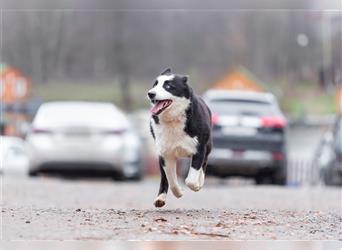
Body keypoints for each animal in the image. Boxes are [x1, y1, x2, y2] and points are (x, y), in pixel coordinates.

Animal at [148, 68, 212, 207]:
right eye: (155, 84)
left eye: (168, 86)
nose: (150, 93)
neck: (173, 120)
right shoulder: (165, 154)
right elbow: (171, 179)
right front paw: (179, 192)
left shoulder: (199, 148)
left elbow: (191, 180)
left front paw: (196, 185)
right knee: (164, 178)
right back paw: (160, 198)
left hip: (208, 146)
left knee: (204, 163)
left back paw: (200, 182)